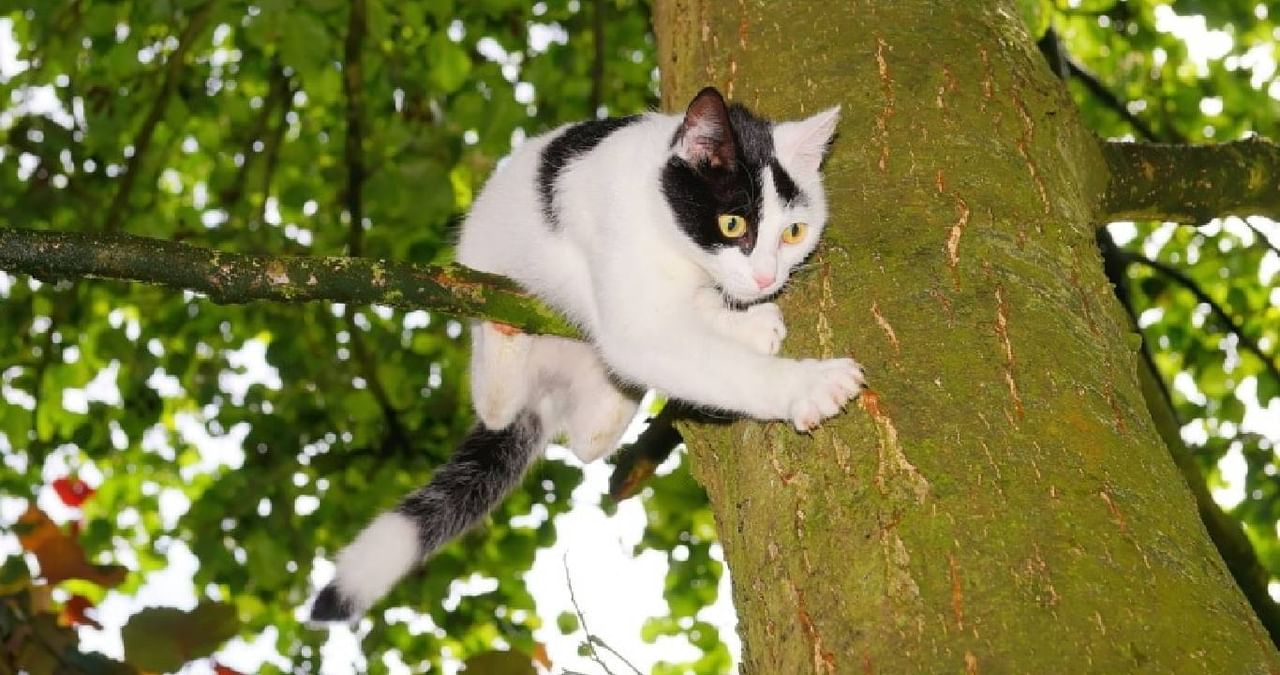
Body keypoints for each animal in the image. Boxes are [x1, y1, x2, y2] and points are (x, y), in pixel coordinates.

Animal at [311, 85, 865, 622]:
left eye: (793, 233)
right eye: (732, 224)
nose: (767, 278)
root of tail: (545, 396)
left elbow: (695, 314)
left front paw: (747, 321)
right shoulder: (627, 278)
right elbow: (684, 349)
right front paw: (809, 386)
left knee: (587, 440)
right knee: (496, 407)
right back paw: (505, 339)